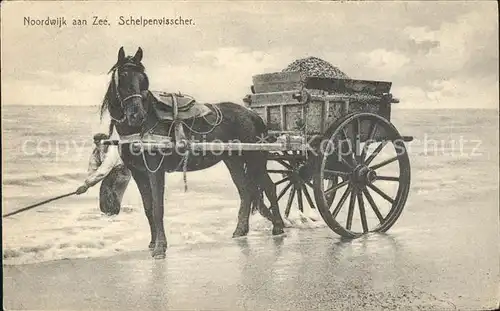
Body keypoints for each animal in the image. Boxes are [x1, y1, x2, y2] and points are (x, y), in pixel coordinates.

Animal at [101, 46, 286, 260]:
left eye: (142, 79)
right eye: (123, 76)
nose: (136, 115)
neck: (142, 127)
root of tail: (253, 115)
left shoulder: (155, 171)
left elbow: (157, 208)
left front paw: (160, 247)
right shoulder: (138, 172)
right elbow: (148, 208)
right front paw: (153, 243)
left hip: (255, 159)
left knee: (269, 187)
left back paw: (278, 227)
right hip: (234, 162)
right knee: (245, 191)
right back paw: (240, 231)